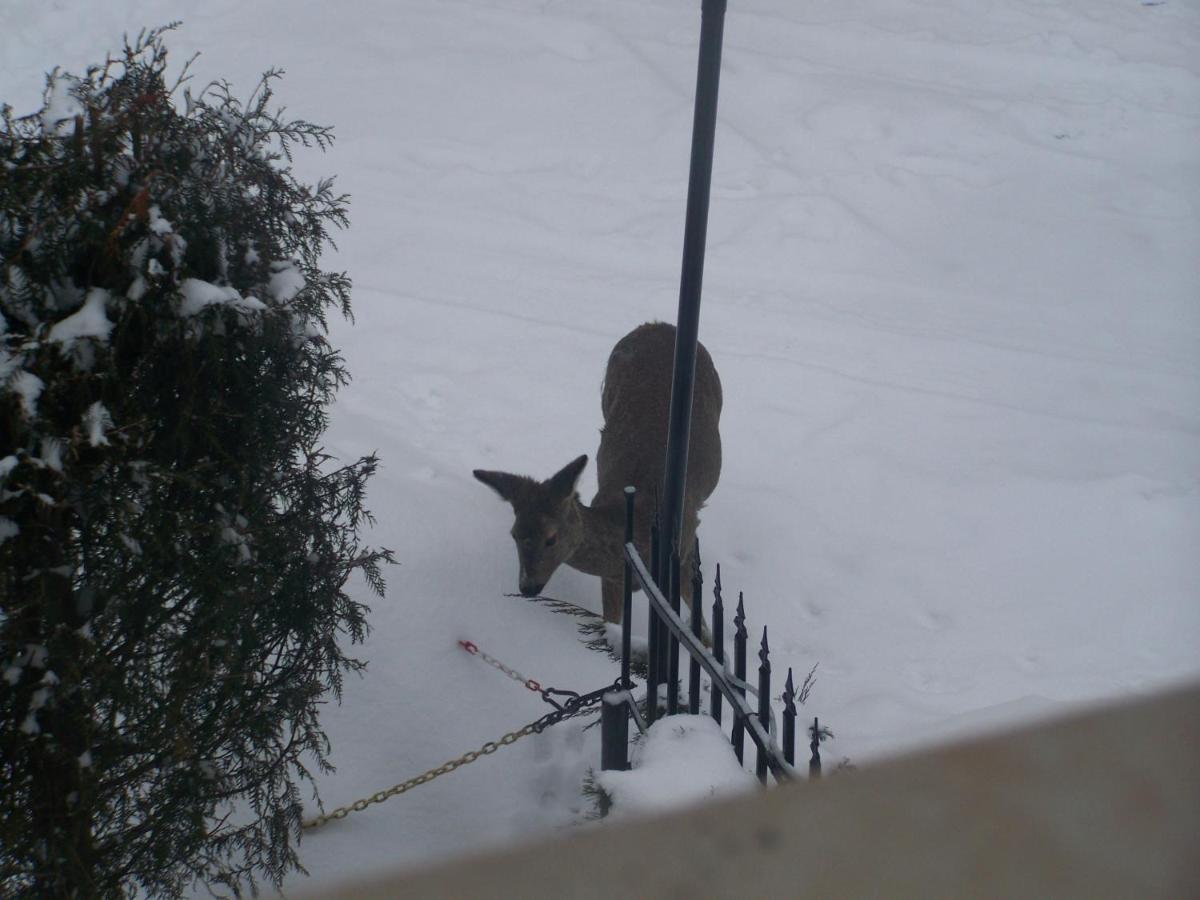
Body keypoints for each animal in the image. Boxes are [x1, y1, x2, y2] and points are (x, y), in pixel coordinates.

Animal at [472, 324, 720, 633]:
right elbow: (610, 624)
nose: (527, 587)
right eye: (515, 534)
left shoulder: (682, 552)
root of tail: (657, 324)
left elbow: (702, 630)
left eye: (551, 538)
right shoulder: (613, 578)